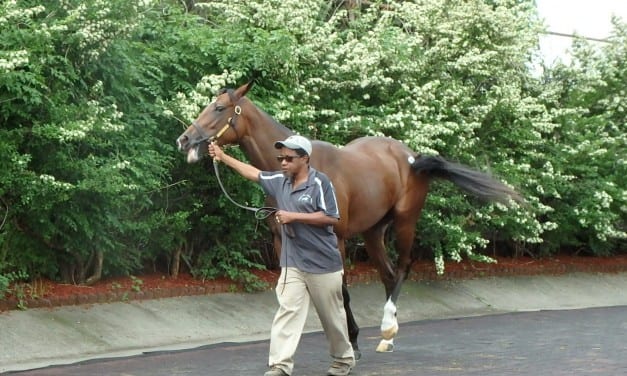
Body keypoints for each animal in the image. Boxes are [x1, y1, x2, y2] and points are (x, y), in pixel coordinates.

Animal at [175, 81, 520, 356]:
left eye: (219, 108)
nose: (185, 140)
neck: (300, 168)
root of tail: (411, 157)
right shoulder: (281, 240)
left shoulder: (336, 239)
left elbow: (339, 290)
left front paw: (350, 340)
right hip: (373, 232)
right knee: (388, 274)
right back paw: (387, 336)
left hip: (405, 222)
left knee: (403, 268)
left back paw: (387, 326)